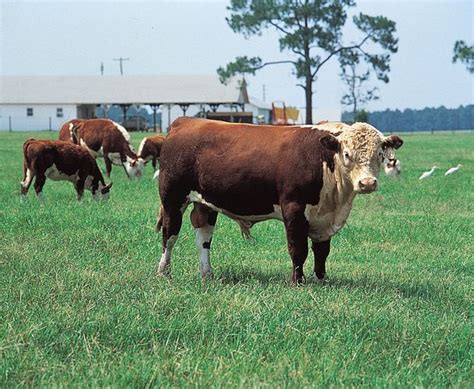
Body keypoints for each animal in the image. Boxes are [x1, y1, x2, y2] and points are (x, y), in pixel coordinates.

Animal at [157, 116, 402, 284]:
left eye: (380, 155)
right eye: (347, 154)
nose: (367, 183)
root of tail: (185, 121)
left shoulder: (324, 216)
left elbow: (322, 251)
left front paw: (321, 279)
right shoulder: (293, 208)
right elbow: (298, 249)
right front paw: (298, 282)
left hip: (205, 204)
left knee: (203, 237)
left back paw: (207, 274)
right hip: (172, 199)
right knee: (170, 235)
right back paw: (164, 272)